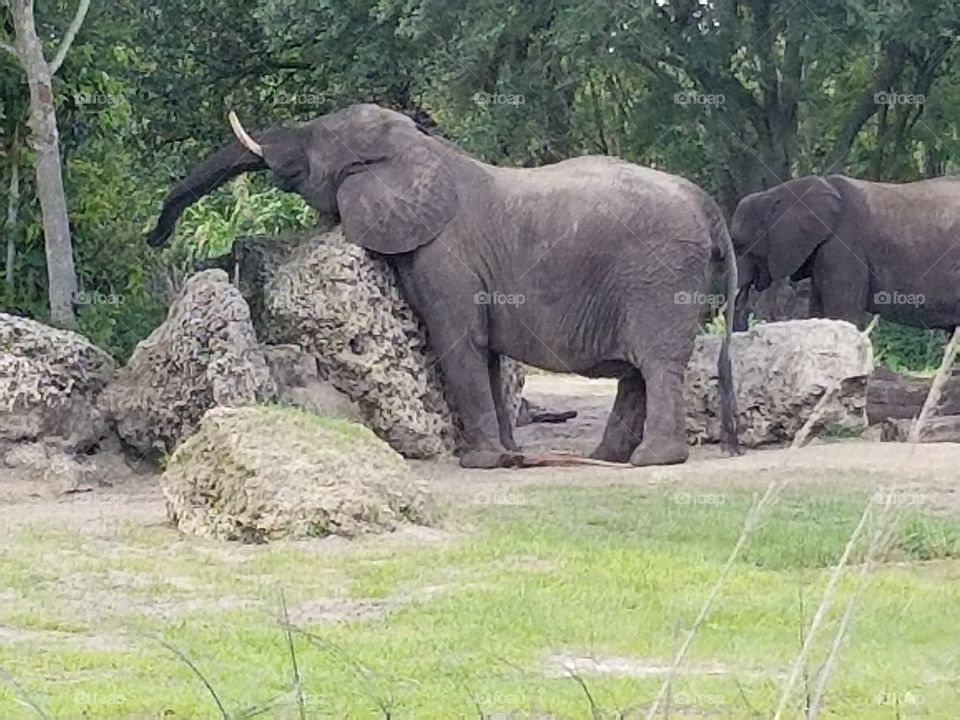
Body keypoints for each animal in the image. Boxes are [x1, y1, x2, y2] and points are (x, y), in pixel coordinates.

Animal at [144, 104, 744, 470]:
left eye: (313, 145)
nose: (154, 238)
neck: (422, 148)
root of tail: (708, 206)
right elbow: (490, 356)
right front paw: (509, 457)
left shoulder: (443, 255)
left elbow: (459, 344)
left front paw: (479, 463)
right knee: (637, 372)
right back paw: (608, 458)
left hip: (659, 274)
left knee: (655, 363)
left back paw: (651, 461)